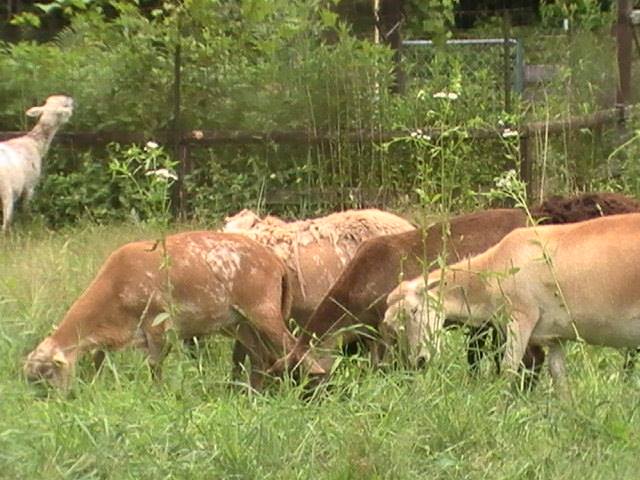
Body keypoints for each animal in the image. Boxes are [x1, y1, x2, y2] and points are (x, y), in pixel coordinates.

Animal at [0, 94, 74, 230]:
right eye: (65, 104)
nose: (72, 98)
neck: (35, 142)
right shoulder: (29, 186)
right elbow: (26, 210)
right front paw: (28, 225)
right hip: (6, 190)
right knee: (6, 222)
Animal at [23, 231, 324, 392]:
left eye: (46, 375)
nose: (55, 404)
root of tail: (276, 263)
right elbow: (98, 360)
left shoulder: (157, 323)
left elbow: (155, 365)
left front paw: (156, 394)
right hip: (238, 322)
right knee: (261, 357)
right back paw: (251, 393)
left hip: (263, 309)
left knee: (297, 351)